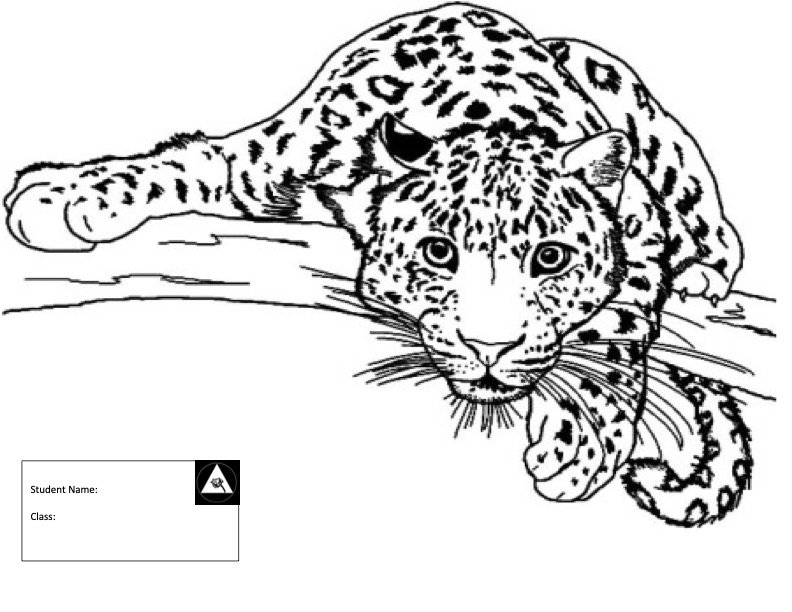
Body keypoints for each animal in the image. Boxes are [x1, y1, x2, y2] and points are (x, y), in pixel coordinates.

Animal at [3, 3, 750, 526]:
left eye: (550, 258)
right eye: (439, 252)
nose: (490, 347)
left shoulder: (641, 221)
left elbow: (618, 328)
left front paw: (579, 443)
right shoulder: (260, 160)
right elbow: (175, 163)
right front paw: (62, 196)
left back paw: (707, 266)